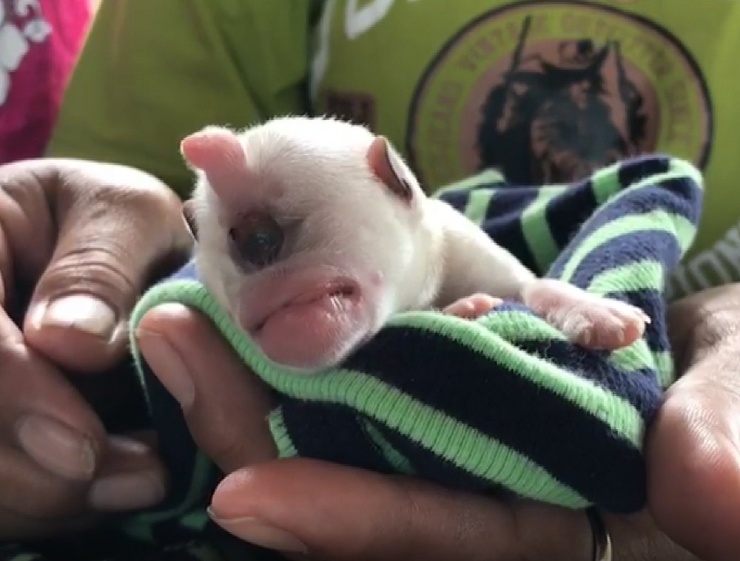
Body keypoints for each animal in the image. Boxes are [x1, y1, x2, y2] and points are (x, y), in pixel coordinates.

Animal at [179, 116, 648, 374]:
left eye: (262, 237)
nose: (251, 239)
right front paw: (463, 310)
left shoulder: (467, 247)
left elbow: (533, 285)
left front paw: (593, 310)